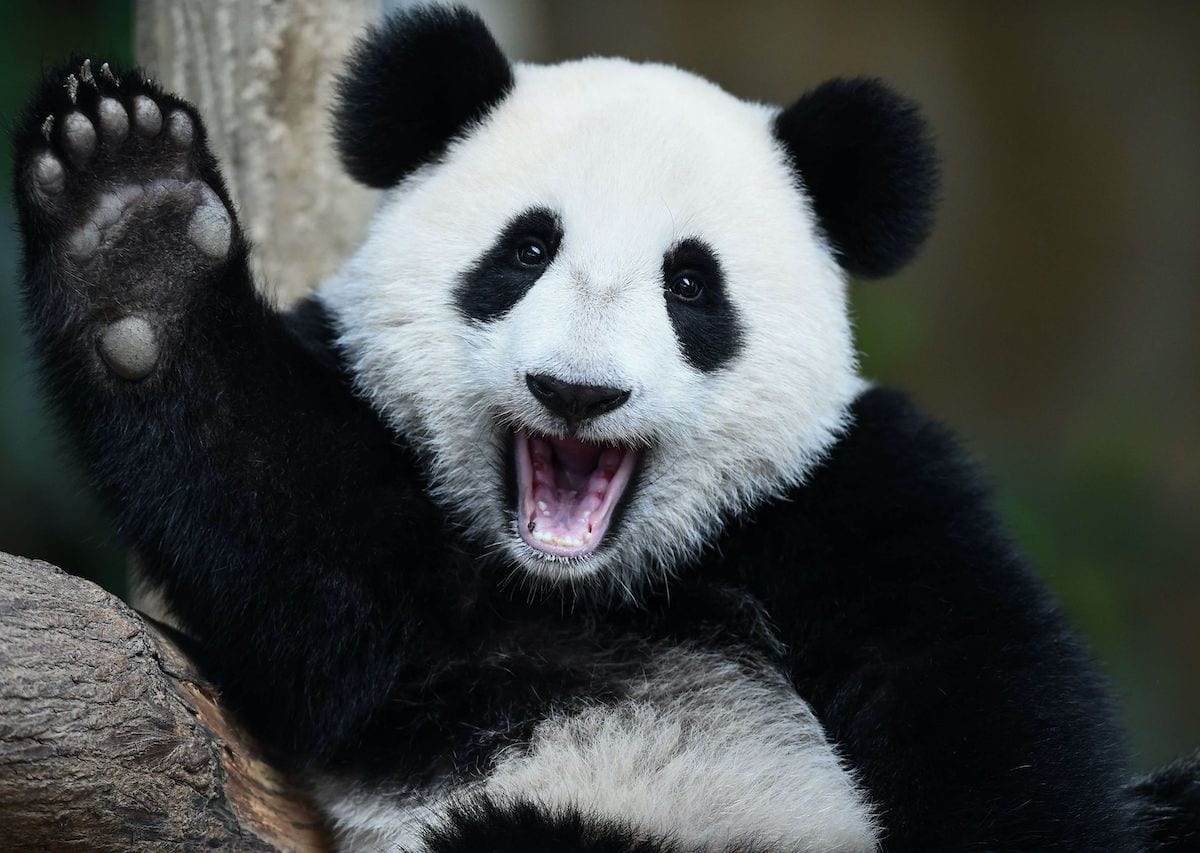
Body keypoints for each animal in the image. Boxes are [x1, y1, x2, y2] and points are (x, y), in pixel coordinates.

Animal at [13, 5, 1198, 852]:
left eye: (691, 284)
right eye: (526, 250)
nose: (577, 392)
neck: (594, 587)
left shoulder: (849, 485)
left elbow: (976, 696)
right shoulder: (402, 588)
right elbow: (296, 539)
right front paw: (134, 229)